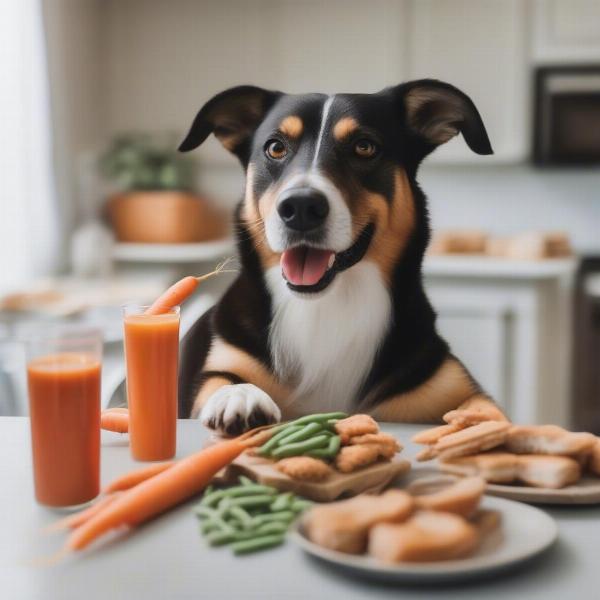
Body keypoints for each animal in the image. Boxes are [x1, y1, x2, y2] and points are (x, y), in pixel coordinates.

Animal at [177, 81, 506, 436]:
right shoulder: (217, 367)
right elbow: (221, 379)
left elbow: (488, 409)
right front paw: (240, 396)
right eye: (275, 148)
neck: (328, 306)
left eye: (364, 147)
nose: (300, 207)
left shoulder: (451, 384)